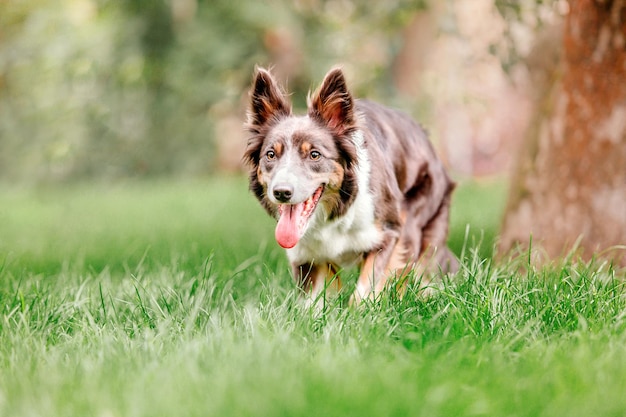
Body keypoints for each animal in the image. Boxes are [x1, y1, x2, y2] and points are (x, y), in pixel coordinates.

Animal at [243, 67, 454, 302]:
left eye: (314, 154)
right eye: (271, 155)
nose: (281, 192)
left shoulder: (388, 234)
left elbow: (365, 288)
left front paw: (361, 309)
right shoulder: (308, 257)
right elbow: (312, 302)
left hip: (415, 221)